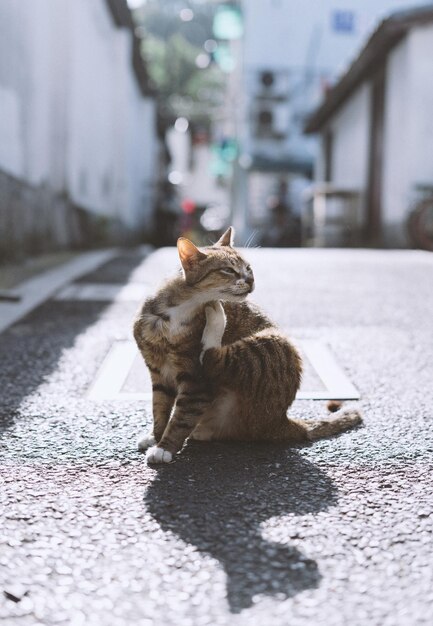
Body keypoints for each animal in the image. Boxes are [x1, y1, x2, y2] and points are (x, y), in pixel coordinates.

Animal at [132, 227, 362, 460]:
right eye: (228, 270)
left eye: (248, 268)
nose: (251, 280)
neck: (176, 312)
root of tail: (281, 420)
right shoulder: (157, 372)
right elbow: (159, 407)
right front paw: (155, 437)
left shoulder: (196, 380)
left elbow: (182, 417)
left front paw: (164, 448)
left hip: (270, 347)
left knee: (212, 356)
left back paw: (217, 314)